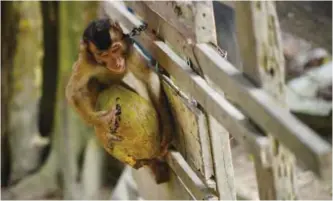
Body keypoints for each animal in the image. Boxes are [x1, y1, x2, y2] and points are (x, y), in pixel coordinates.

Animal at [66, 18, 172, 184]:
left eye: (115, 49)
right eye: (104, 55)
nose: (116, 62)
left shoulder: (128, 50)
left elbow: (148, 76)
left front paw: (167, 131)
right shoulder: (86, 61)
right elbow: (73, 92)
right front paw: (103, 123)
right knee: (92, 84)